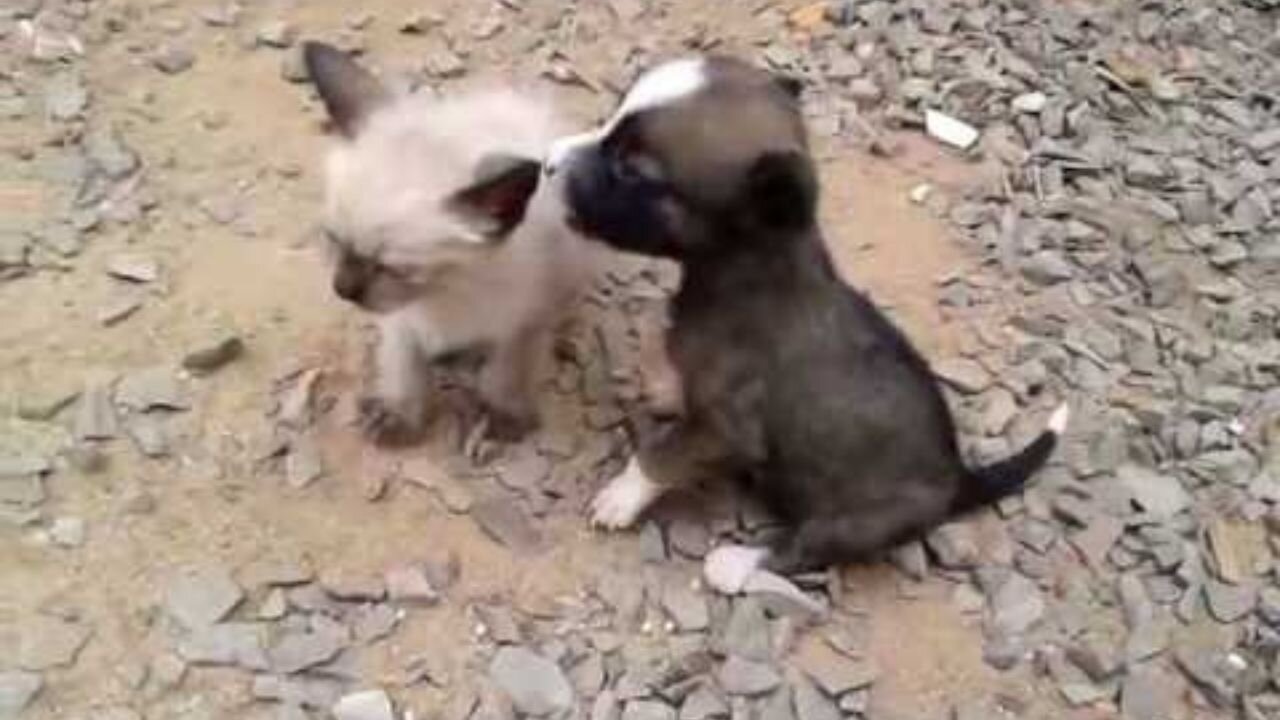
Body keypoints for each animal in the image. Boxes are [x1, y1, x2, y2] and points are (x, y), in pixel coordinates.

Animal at [304, 43, 599, 443]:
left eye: (392, 268)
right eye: (333, 239)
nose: (342, 290)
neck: (447, 297)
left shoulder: (525, 322)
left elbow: (506, 372)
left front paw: (504, 414)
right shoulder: (401, 320)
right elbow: (405, 366)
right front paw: (401, 414)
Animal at [547, 57, 1070, 589]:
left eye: (631, 170)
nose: (547, 161)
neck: (749, 274)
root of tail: (959, 479)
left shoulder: (727, 430)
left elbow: (660, 458)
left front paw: (620, 498)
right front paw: (668, 393)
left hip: (857, 522)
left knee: (803, 550)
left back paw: (734, 564)